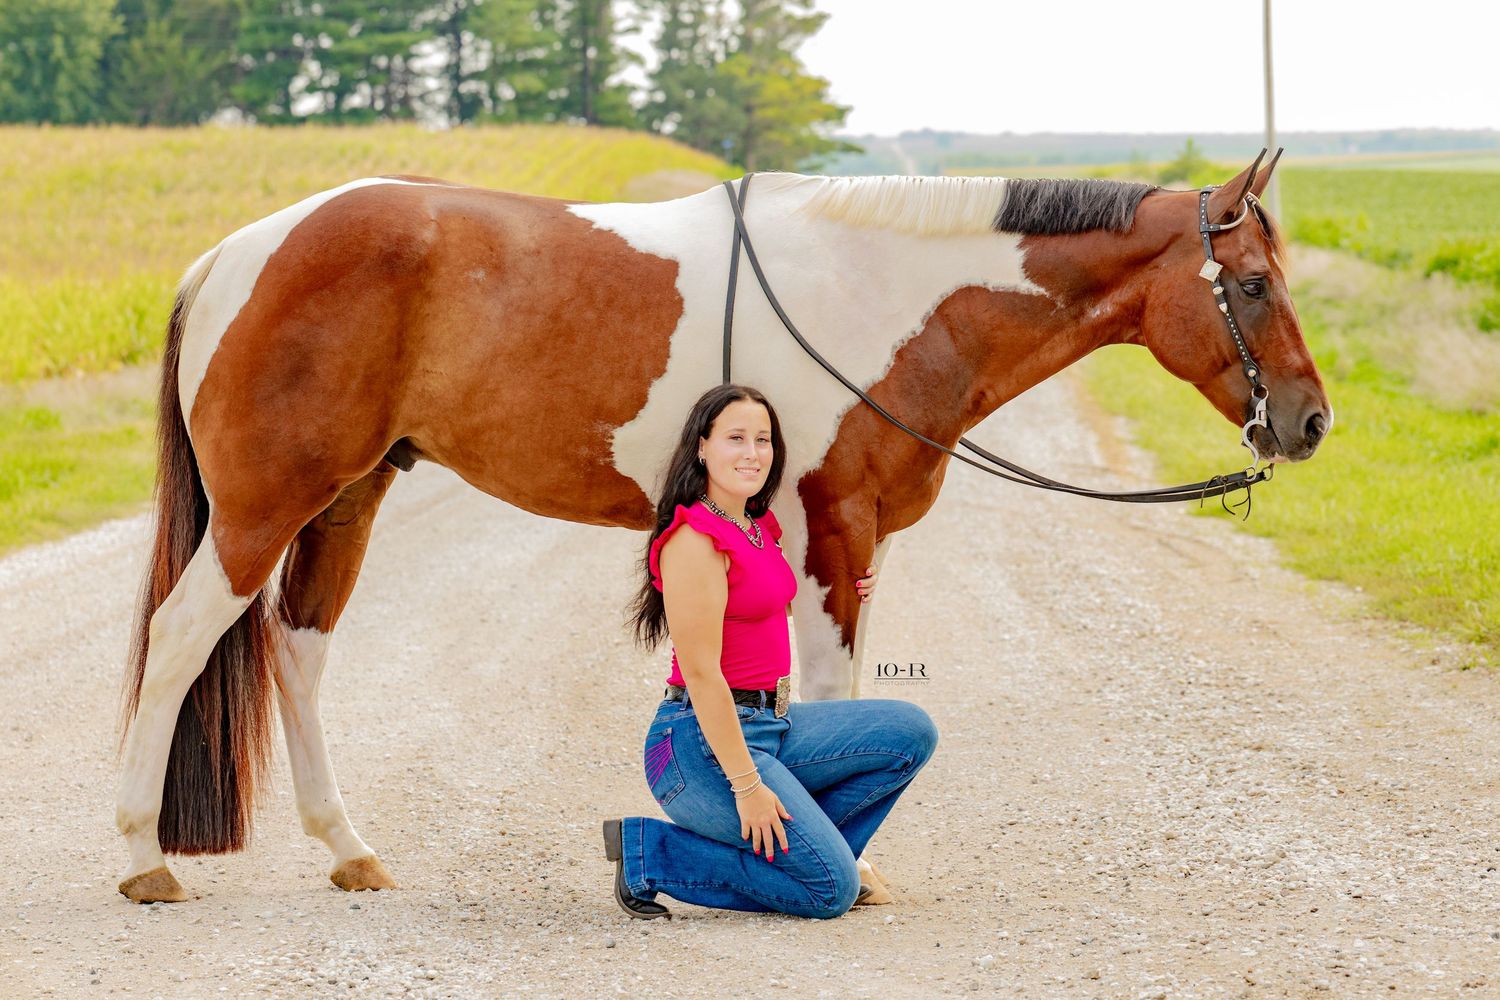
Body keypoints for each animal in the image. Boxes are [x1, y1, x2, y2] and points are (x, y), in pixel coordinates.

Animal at [115, 155, 1330, 903]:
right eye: (1251, 283)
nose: (1311, 420)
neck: (886, 297)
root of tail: (234, 255)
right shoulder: (835, 534)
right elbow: (831, 689)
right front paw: (849, 867)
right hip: (265, 508)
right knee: (179, 643)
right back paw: (141, 855)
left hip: (347, 499)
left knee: (297, 651)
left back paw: (349, 847)